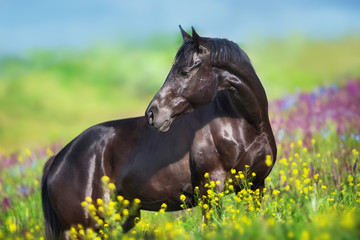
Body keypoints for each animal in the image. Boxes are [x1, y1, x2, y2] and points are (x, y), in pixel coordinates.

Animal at [43, 26, 278, 238]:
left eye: (184, 72)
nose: (152, 114)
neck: (246, 126)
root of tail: (59, 159)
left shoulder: (255, 187)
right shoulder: (211, 190)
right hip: (84, 227)